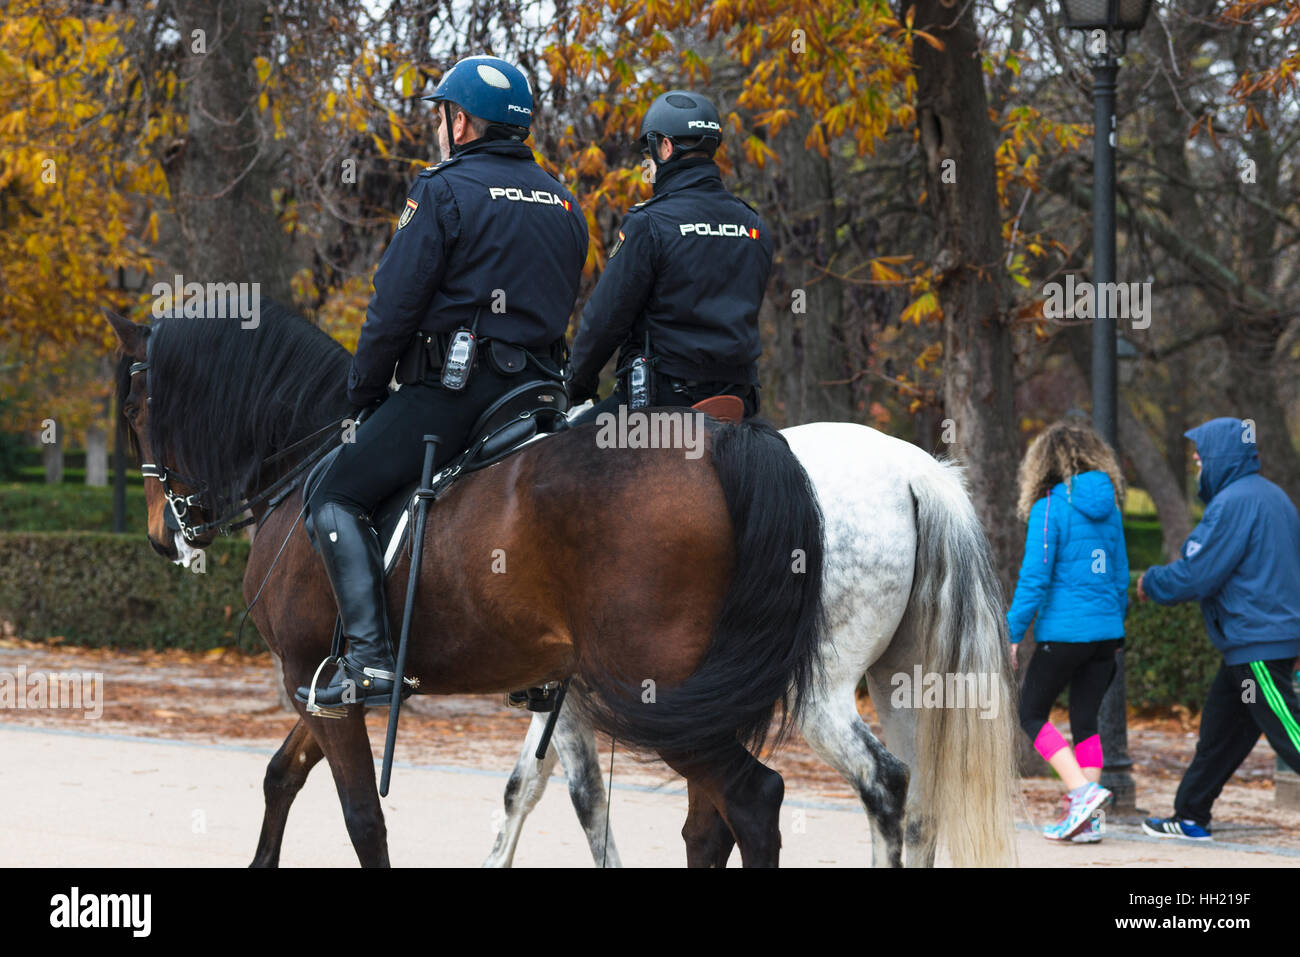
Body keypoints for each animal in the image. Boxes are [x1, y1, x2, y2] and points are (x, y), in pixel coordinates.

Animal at [109, 304, 821, 868]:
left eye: (133, 409)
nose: (162, 535)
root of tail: (728, 437)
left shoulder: (314, 678)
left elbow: (363, 819)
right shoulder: (322, 684)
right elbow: (282, 775)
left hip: (656, 694)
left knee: (753, 800)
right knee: (711, 822)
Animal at [483, 421, 1019, 868]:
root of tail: (913, 471)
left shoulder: (567, 695)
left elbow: (583, 797)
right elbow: (523, 787)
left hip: (821, 695)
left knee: (884, 783)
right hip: (904, 685)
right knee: (923, 802)